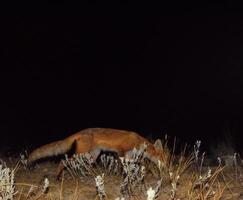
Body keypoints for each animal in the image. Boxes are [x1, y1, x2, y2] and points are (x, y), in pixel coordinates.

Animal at [27, 128, 166, 178]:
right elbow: (121, 166)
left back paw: (90, 174)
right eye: (163, 158)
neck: (138, 141)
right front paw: (121, 175)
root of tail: (81, 131)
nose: (165, 167)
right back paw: (57, 176)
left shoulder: (130, 155)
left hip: (93, 155)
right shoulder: (121, 151)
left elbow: (133, 166)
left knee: (86, 165)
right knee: (63, 161)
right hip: (81, 154)